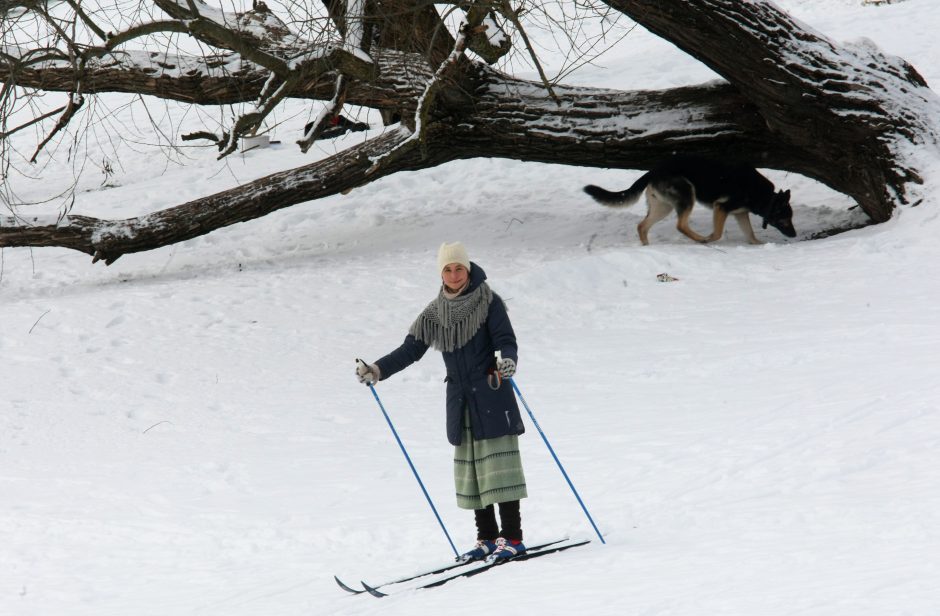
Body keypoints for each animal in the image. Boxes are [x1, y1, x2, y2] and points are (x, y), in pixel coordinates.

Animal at [588, 156, 792, 245]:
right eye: (785, 218)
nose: (794, 234)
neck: (767, 197)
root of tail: (653, 170)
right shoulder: (721, 207)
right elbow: (717, 233)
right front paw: (709, 238)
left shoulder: (740, 213)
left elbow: (750, 233)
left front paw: (758, 244)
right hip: (687, 195)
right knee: (681, 225)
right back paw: (699, 238)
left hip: (662, 208)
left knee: (642, 226)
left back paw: (646, 246)